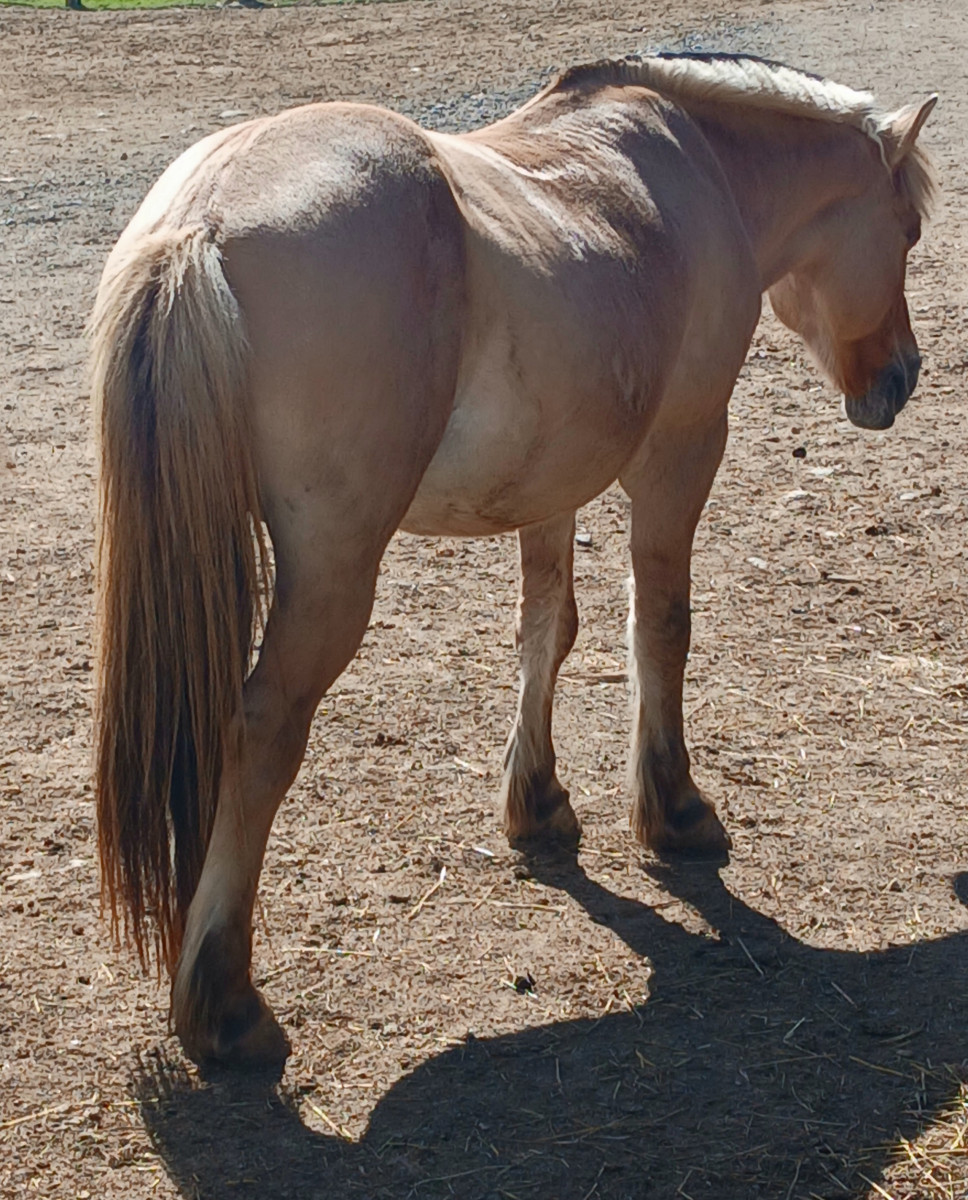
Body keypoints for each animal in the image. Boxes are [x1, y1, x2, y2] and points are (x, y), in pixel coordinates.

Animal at [91, 52, 936, 1070]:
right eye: (909, 229)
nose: (902, 377)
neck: (701, 169)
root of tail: (203, 217)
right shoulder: (685, 449)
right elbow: (661, 627)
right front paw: (675, 809)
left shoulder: (551, 484)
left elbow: (549, 631)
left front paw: (536, 801)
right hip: (331, 574)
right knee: (260, 730)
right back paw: (224, 1003)